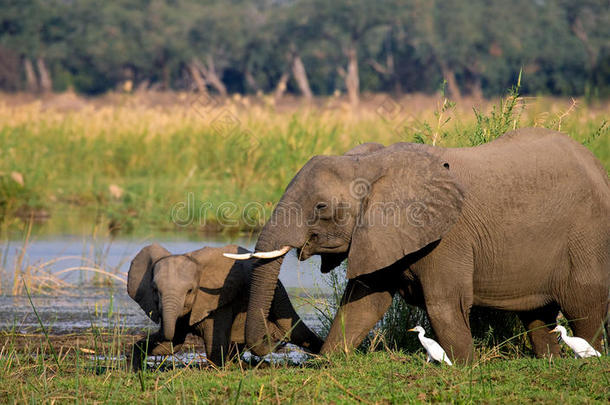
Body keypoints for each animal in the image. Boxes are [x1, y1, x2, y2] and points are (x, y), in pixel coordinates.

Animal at [128, 243, 324, 370]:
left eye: (190, 291)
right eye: (154, 290)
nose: (276, 341)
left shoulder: (218, 300)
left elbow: (210, 344)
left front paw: (218, 368)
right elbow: (172, 344)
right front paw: (135, 366)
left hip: (278, 294)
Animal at [226, 128, 604, 362]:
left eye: (320, 207)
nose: (272, 345)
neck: (370, 164)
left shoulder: (447, 237)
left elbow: (445, 304)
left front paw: (465, 366)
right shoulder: (380, 234)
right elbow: (363, 303)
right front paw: (330, 360)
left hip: (587, 235)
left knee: (585, 307)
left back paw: (589, 358)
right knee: (538, 316)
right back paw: (551, 361)